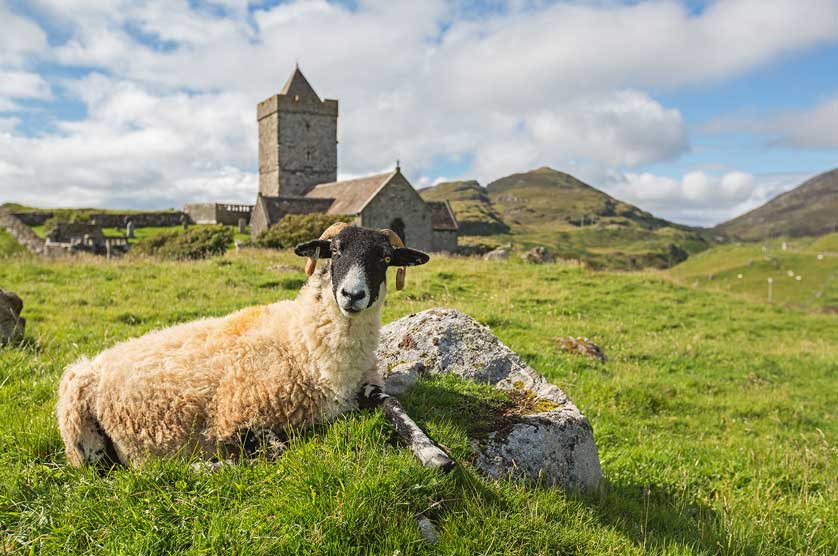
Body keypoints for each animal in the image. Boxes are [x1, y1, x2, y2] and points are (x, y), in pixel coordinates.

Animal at [56, 223, 431, 467]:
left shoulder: (365, 387)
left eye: (385, 258)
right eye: (335, 251)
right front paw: (206, 466)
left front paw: (433, 453)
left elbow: (395, 406)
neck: (303, 343)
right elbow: (274, 452)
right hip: (84, 441)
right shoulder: (236, 416)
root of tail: (90, 365)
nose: (352, 295)